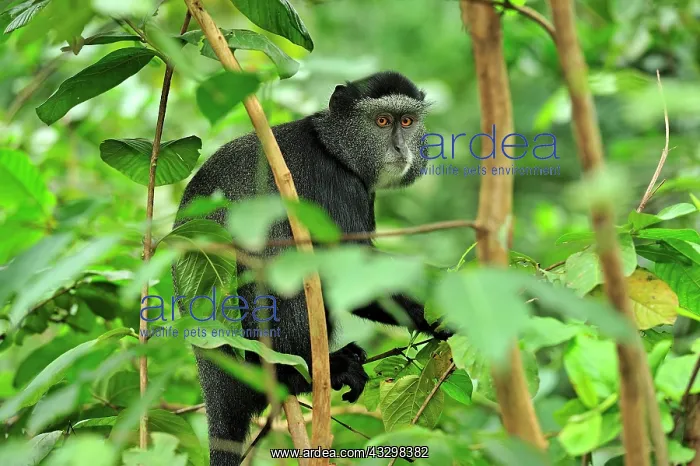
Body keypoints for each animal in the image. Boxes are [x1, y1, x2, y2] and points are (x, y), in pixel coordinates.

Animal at [172, 71, 450, 466]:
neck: (332, 145)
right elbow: (351, 271)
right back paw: (304, 375)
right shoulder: (334, 183)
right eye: (383, 121)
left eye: (407, 122)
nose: (401, 149)